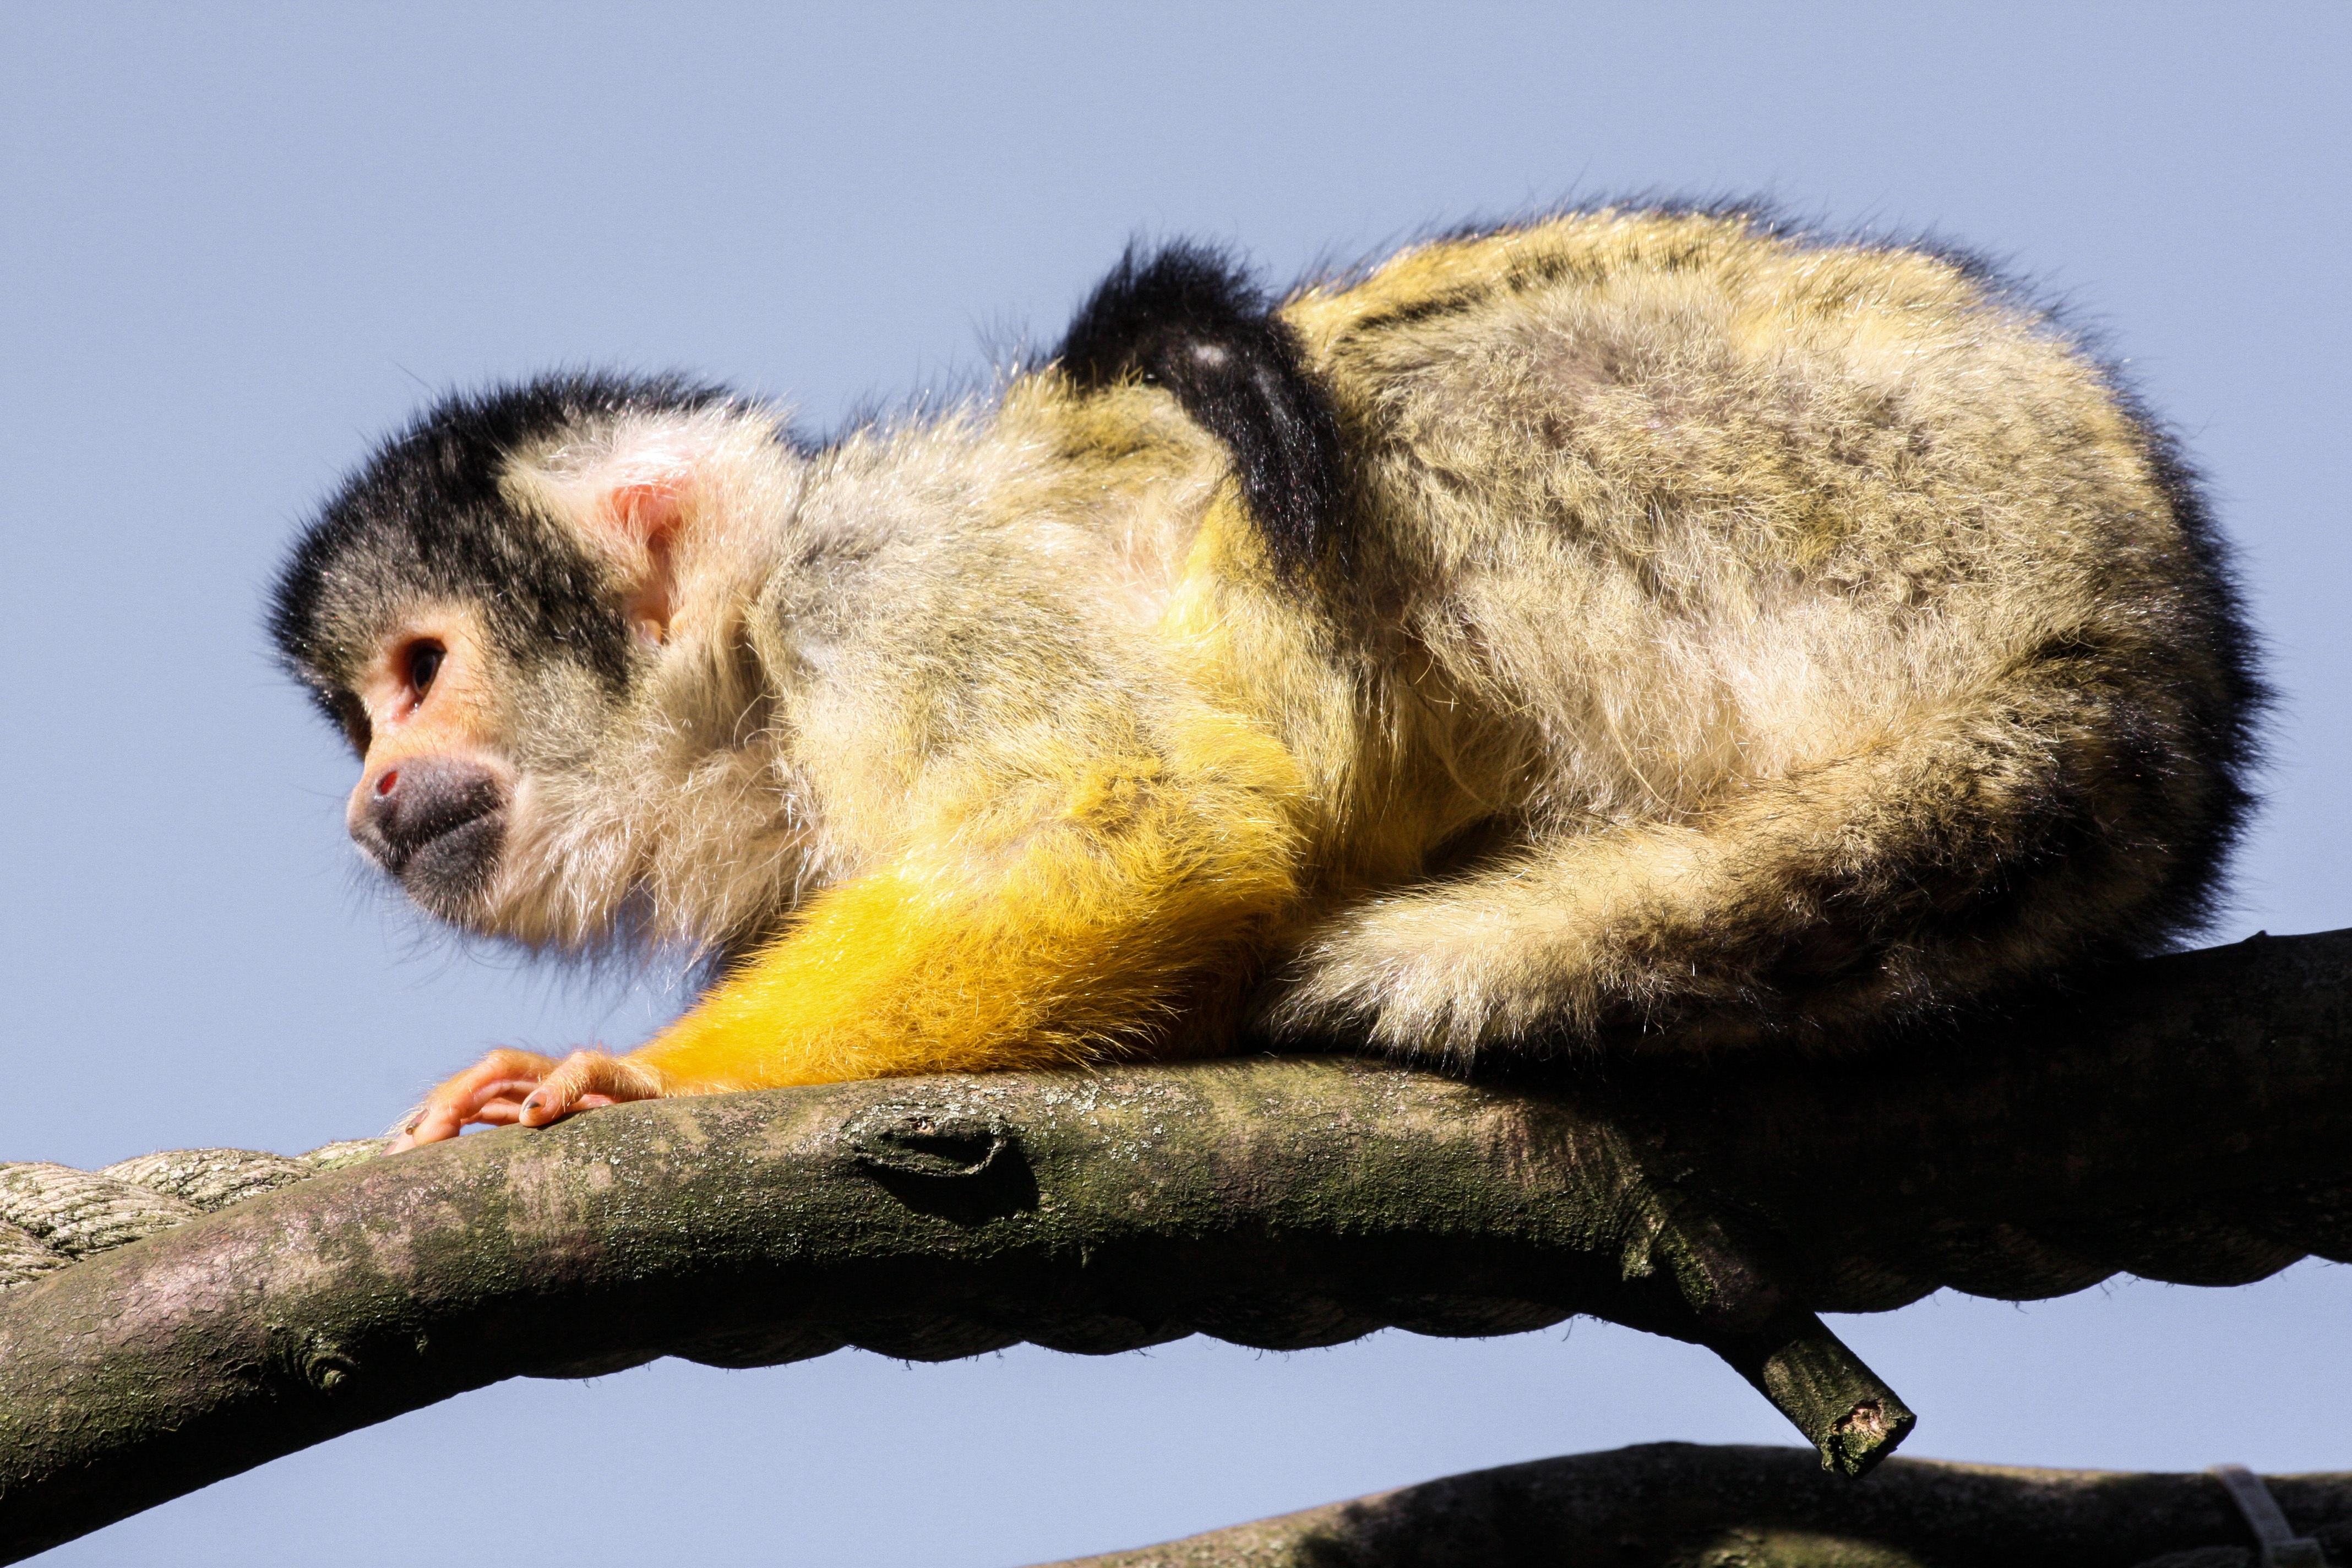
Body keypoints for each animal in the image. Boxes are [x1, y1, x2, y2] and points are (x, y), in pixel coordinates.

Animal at [270, 208, 2258, 1147]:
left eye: (423, 670)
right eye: (363, 713)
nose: (370, 797)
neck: (759, 671)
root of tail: (2153, 614)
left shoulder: (881, 597)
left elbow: (1136, 830)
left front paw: (639, 1083)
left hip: (1858, 510)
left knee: (1357, 405)